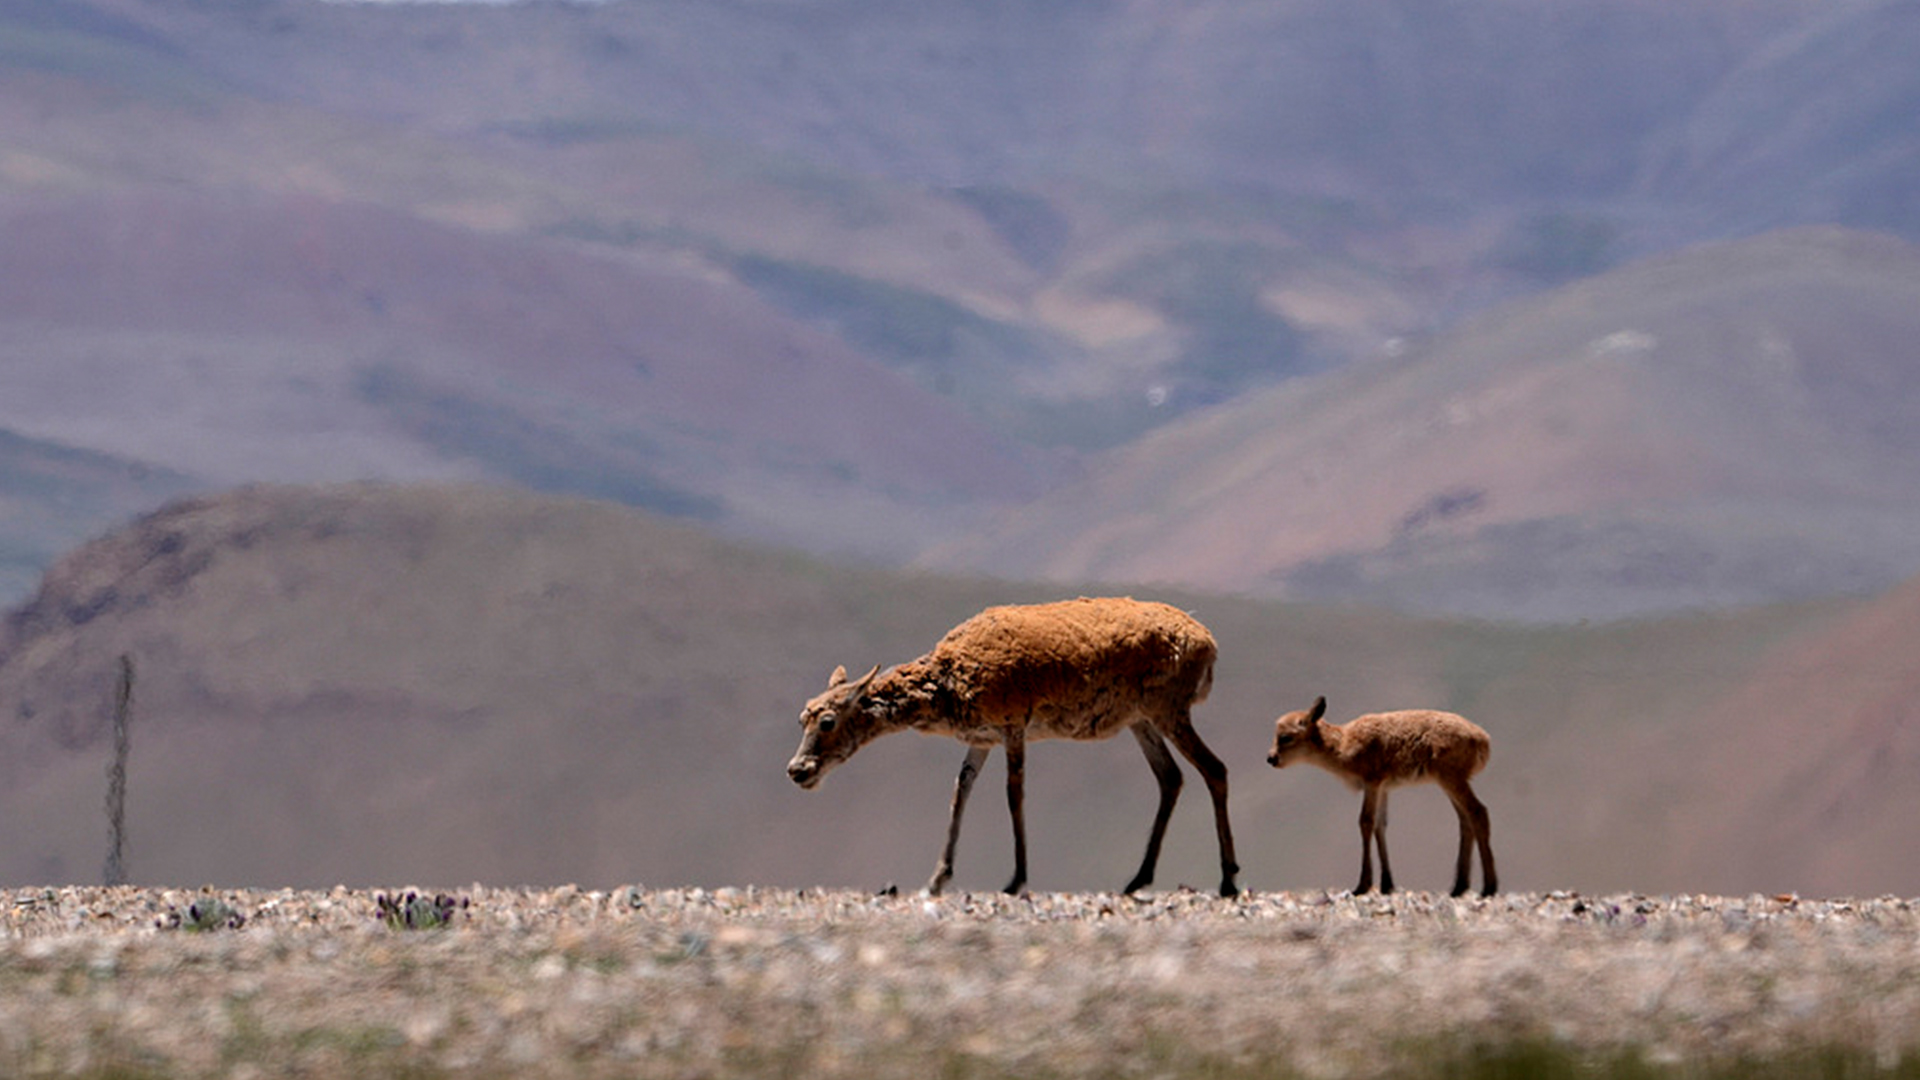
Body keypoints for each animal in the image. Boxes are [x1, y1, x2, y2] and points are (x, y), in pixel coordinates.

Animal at [786, 597, 1240, 897]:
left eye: (827, 720)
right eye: (802, 716)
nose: (797, 770)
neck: (947, 681)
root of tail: (1209, 643)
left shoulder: (1013, 727)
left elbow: (1013, 794)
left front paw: (1016, 878)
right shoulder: (982, 740)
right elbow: (960, 792)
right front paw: (936, 879)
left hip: (1168, 712)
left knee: (1214, 769)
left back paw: (1228, 878)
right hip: (1140, 720)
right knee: (1171, 777)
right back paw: (1137, 879)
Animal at [1266, 696, 1497, 897]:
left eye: (1286, 737)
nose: (1271, 758)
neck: (1344, 743)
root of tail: (1483, 739)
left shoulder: (1372, 783)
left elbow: (1365, 822)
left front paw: (1363, 885)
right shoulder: (1384, 788)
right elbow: (1380, 825)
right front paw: (1387, 885)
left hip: (1451, 779)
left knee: (1478, 811)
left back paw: (1489, 887)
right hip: (1448, 783)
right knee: (1465, 819)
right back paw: (1459, 887)